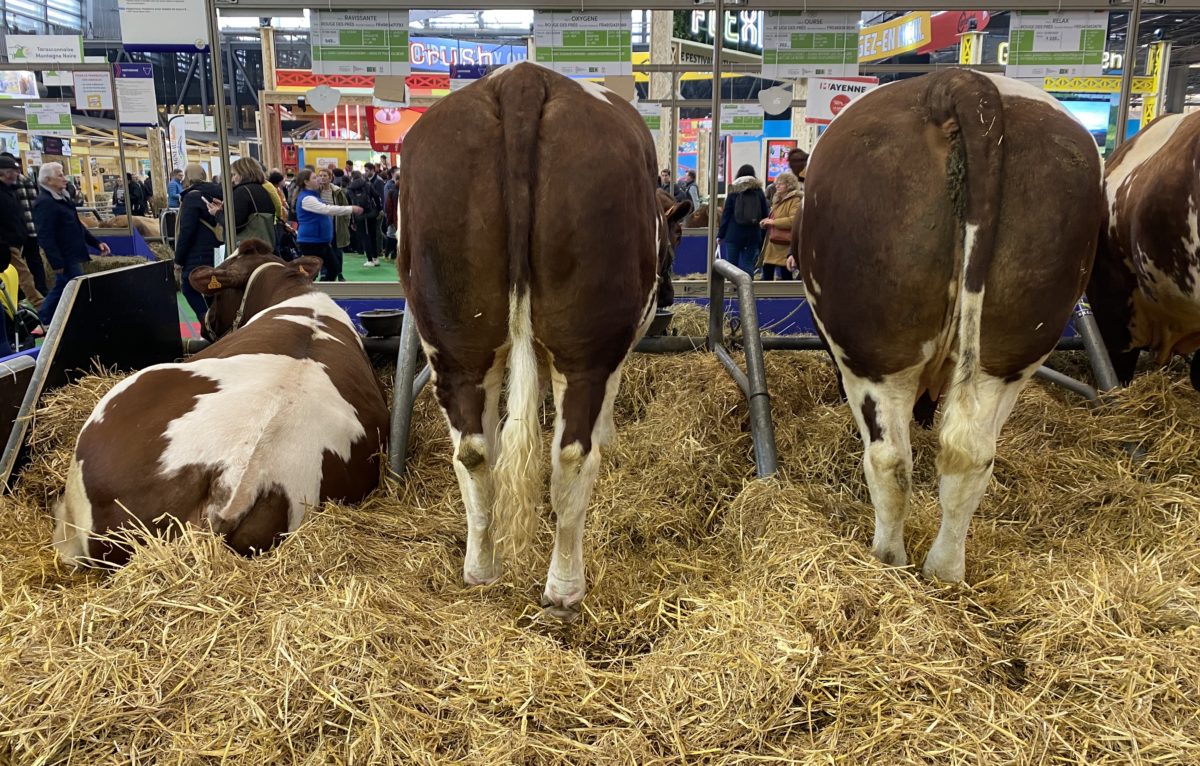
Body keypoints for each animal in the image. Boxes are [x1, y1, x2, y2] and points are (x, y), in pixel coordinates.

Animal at [398, 61, 691, 619]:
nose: (667, 291)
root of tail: (521, 80)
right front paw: (611, 436)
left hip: (453, 342)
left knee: (474, 452)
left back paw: (481, 569)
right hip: (588, 344)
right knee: (572, 457)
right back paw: (564, 588)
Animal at [801, 69, 1099, 581]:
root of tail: (959, 81)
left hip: (875, 354)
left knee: (890, 460)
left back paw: (888, 559)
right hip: (1010, 351)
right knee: (971, 455)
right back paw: (944, 571)